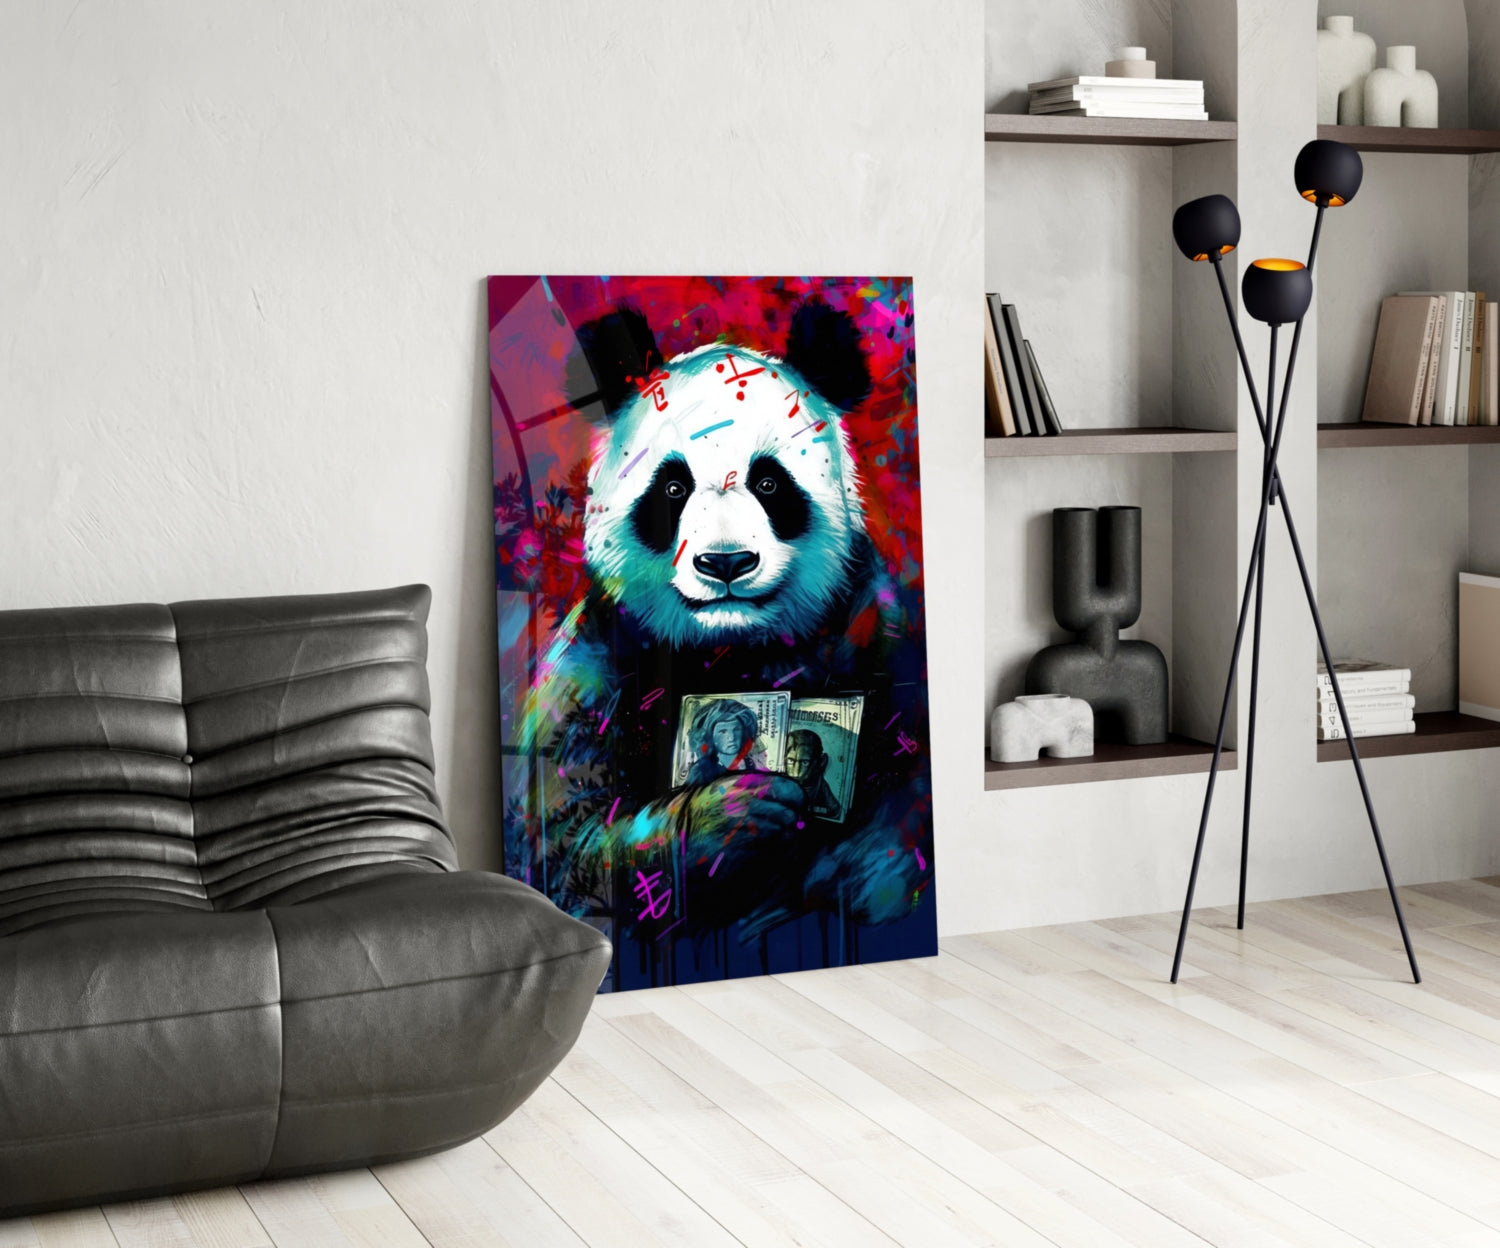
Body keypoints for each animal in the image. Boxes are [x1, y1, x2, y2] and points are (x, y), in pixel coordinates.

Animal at [525, 296, 932, 969]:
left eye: (769, 483)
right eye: (672, 487)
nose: (726, 563)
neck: (733, 647)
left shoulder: (872, 632)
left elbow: (904, 811)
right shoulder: (600, 661)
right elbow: (574, 841)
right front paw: (734, 812)